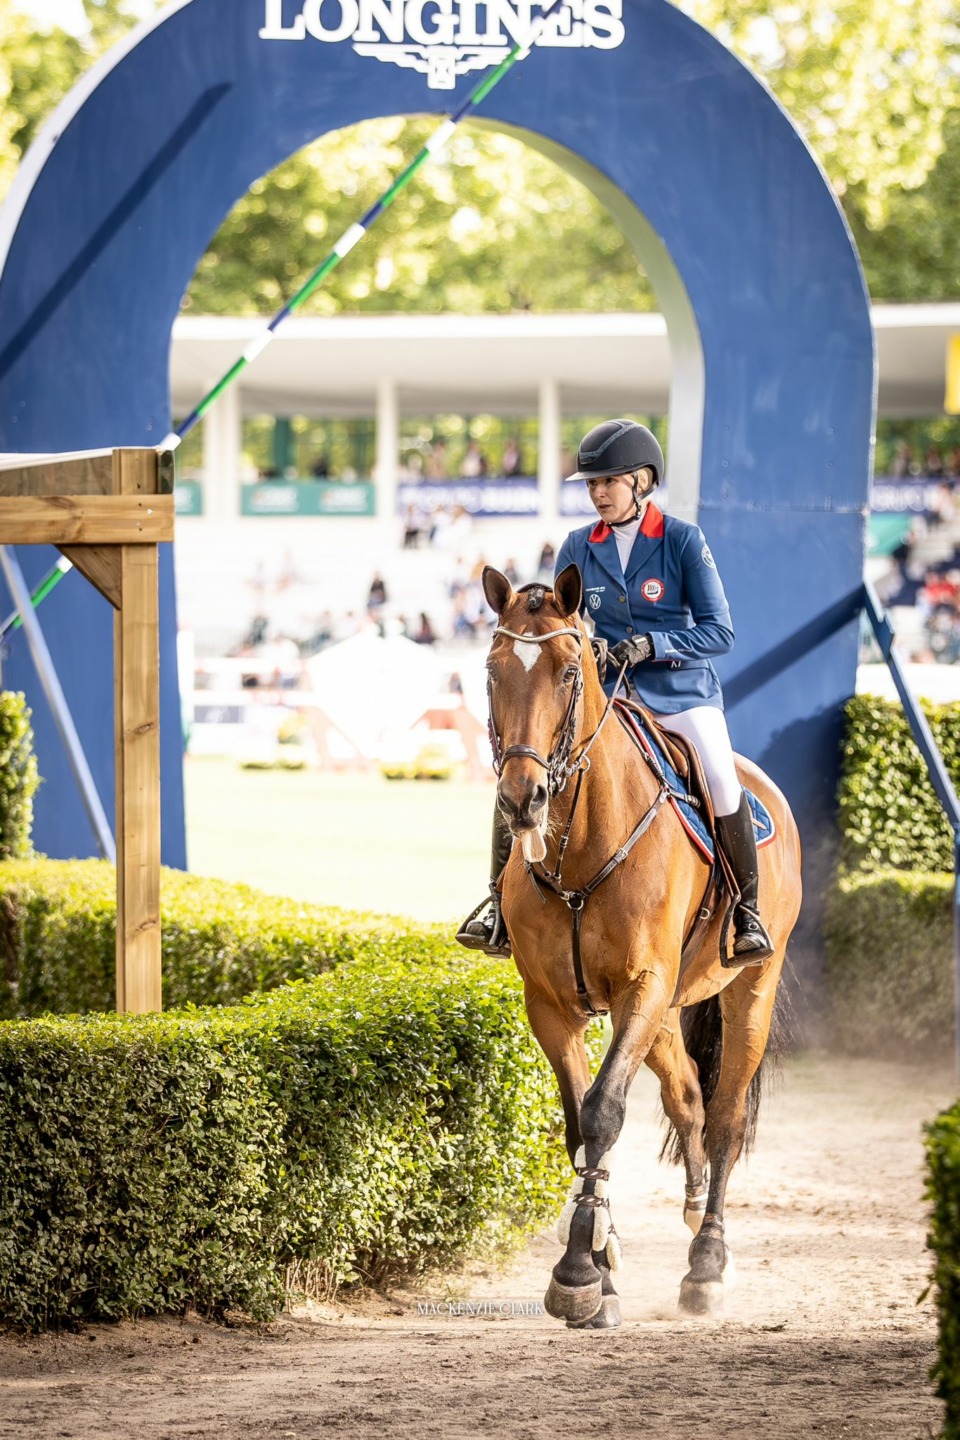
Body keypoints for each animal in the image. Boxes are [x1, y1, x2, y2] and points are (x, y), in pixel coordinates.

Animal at [480, 558, 805, 1324]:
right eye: (492, 670)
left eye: (570, 671)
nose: (521, 801)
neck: (578, 846)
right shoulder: (552, 1004)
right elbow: (578, 1125)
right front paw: (601, 1264)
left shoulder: (641, 988)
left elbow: (603, 1113)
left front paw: (576, 1271)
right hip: (663, 1014)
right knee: (687, 1094)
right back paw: (689, 1211)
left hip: (749, 989)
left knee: (722, 1118)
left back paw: (708, 1261)